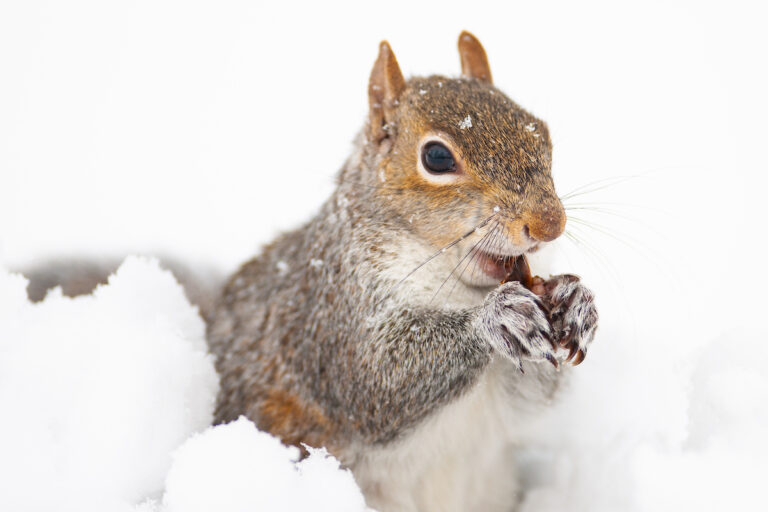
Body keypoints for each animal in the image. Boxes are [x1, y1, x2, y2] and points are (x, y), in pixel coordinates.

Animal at [207, 31, 598, 512]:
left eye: (541, 133)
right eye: (436, 157)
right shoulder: (334, 314)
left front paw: (575, 303)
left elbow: (530, 404)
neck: (461, 287)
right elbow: (378, 377)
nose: (550, 223)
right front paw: (498, 318)